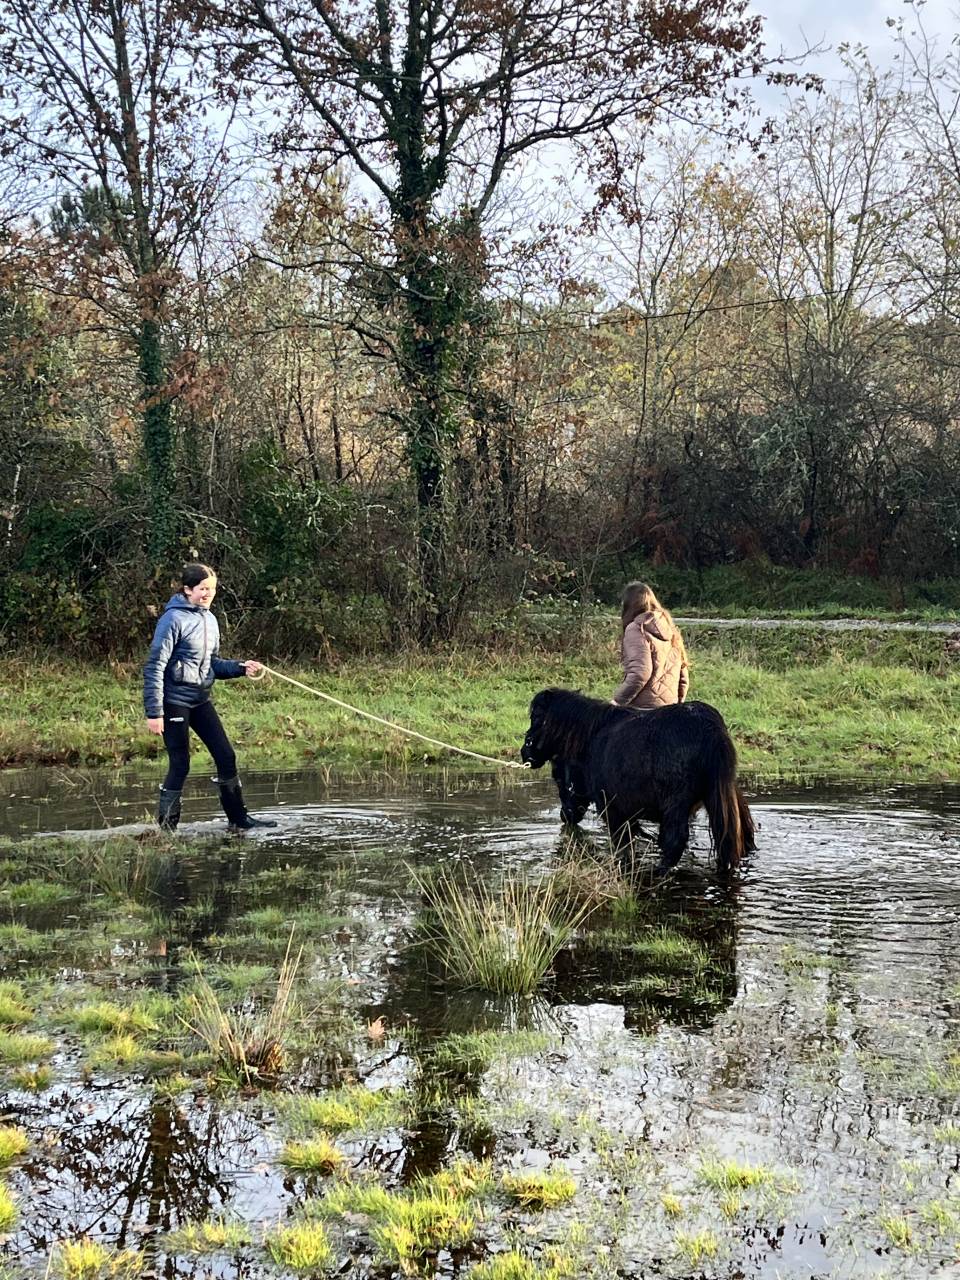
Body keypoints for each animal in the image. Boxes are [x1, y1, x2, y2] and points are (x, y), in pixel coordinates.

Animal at [520, 688, 755, 875]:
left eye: (537, 717)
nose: (525, 752)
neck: (593, 738)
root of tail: (711, 728)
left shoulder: (613, 811)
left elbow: (623, 847)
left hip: (676, 805)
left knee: (675, 842)